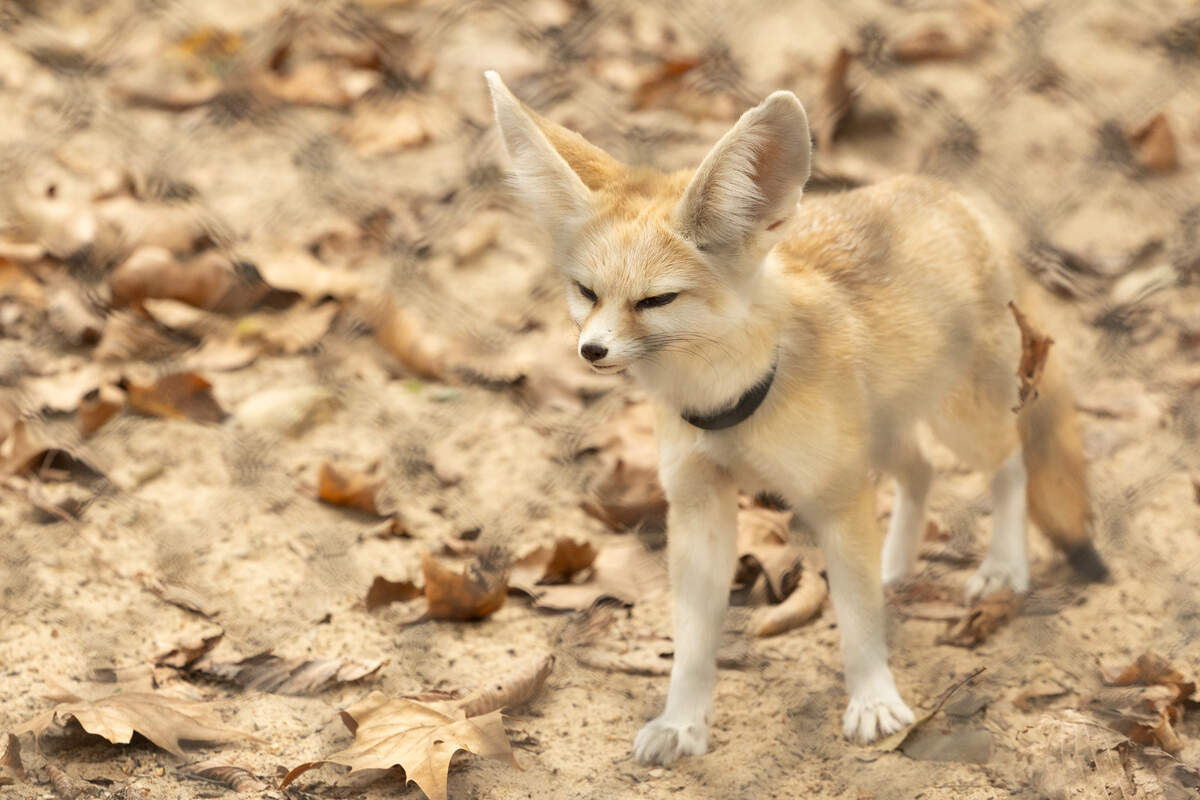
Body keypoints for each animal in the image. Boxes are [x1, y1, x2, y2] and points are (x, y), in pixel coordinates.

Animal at [485, 71, 1108, 766]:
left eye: (656, 300)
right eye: (587, 293)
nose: (590, 351)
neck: (730, 403)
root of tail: (953, 199)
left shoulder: (836, 498)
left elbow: (859, 624)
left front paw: (873, 701)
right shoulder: (698, 506)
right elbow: (693, 642)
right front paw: (681, 722)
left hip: (961, 425)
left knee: (1011, 465)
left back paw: (1003, 568)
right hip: (883, 437)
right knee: (919, 475)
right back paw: (895, 565)